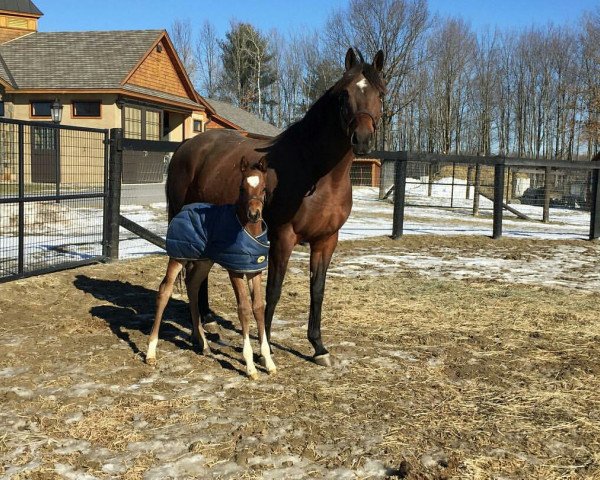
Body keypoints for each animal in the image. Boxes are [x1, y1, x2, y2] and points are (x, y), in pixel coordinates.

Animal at [145, 158, 276, 378]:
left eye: (264, 188)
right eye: (241, 188)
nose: (254, 214)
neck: (246, 229)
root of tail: (184, 209)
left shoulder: (254, 270)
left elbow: (258, 307)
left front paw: (268, 362)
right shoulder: (235, 270)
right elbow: (244, 309)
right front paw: (250, 365)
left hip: (204, 261)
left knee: (192, 285)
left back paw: (204, 344)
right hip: (178, 256)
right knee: (164, 290)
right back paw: (151, 352)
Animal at [166, 47, 386, 364]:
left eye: (380, 93)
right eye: (344, 94)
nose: (363, 139)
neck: (315, 171)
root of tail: (187, 146)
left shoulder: (326, 241)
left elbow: (317, 291)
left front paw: (318, 347)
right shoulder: (283, 237)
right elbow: (273, 291)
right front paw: (264, 348)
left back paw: (206, 319)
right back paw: (202, 327)